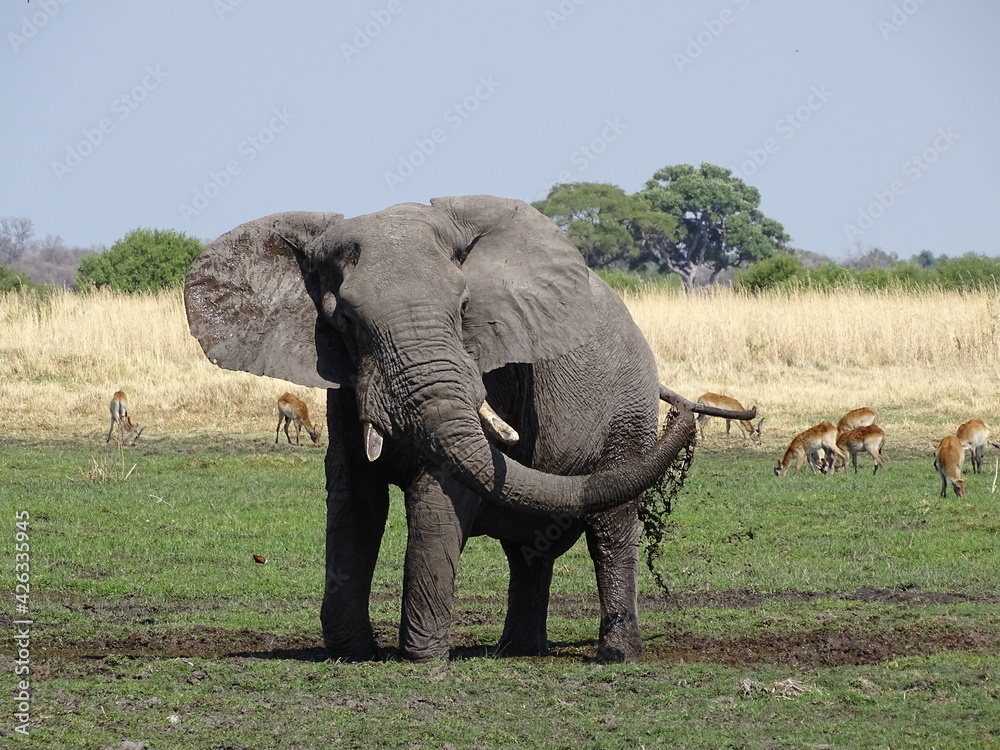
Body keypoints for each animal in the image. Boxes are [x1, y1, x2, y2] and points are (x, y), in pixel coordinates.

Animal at [184, 195, 751, 662]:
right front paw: (353, 653)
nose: (686, 418)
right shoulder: (342, 385)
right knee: (531, 547)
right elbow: (356, 502)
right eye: (343, 320)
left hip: (627, 410)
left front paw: (419, 659)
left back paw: (616, 656)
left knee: (609, 530)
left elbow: (438, 495)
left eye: (463, 308)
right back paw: (517, 652)